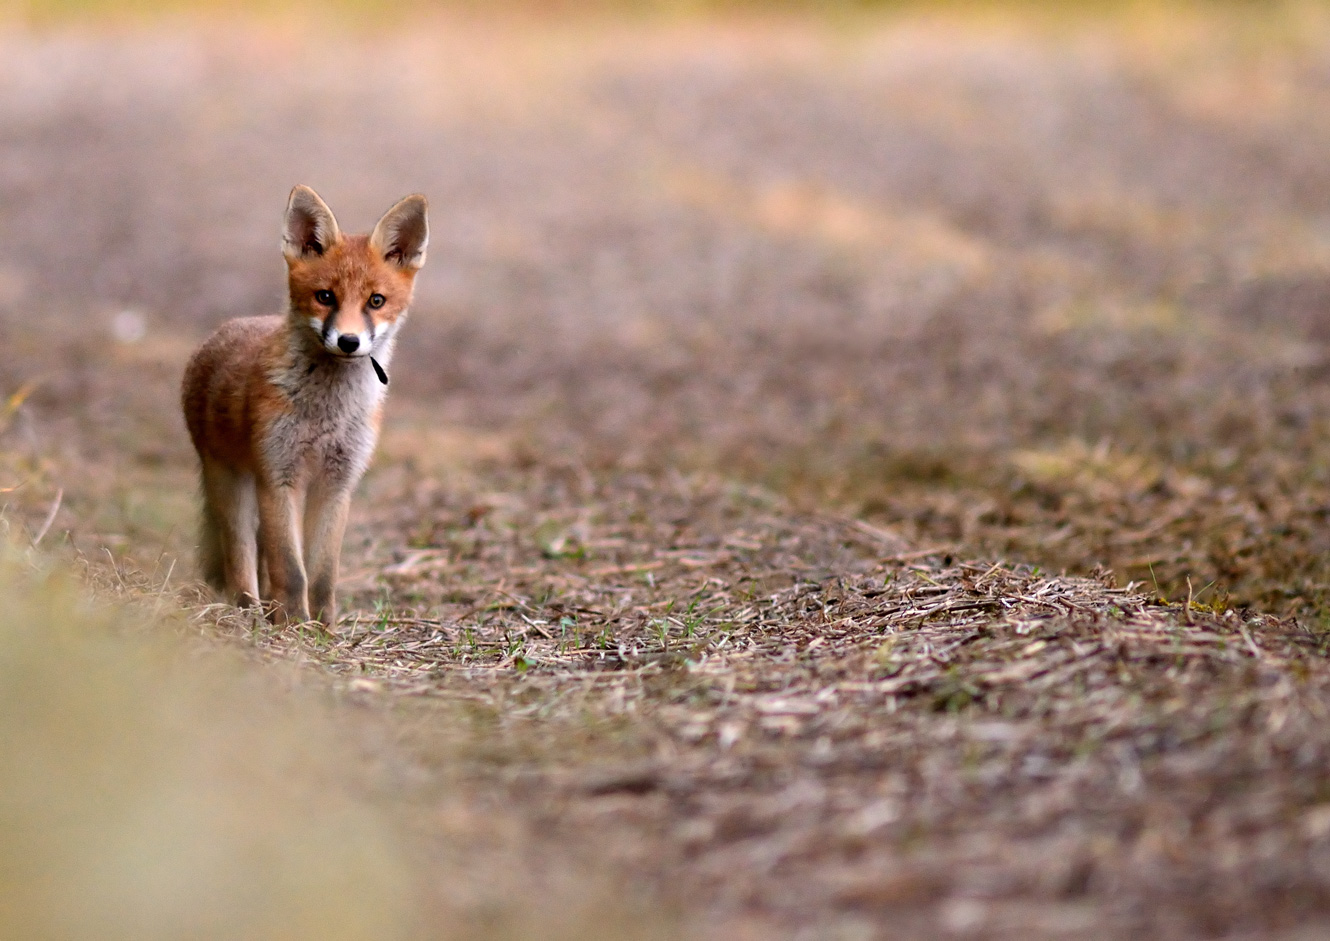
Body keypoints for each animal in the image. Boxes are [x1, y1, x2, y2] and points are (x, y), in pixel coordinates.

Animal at [181, 185, 428, 627]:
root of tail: (224, 329)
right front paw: (294, 623)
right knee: (240, 554)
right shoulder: (279, 476)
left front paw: (323, 626)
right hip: (232, 484)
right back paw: (248, 608)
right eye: (325, 297)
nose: (348, 341)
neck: (327, 415)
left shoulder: (337, 483)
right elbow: (291, 570)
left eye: (376, 301)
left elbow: (323, 572)